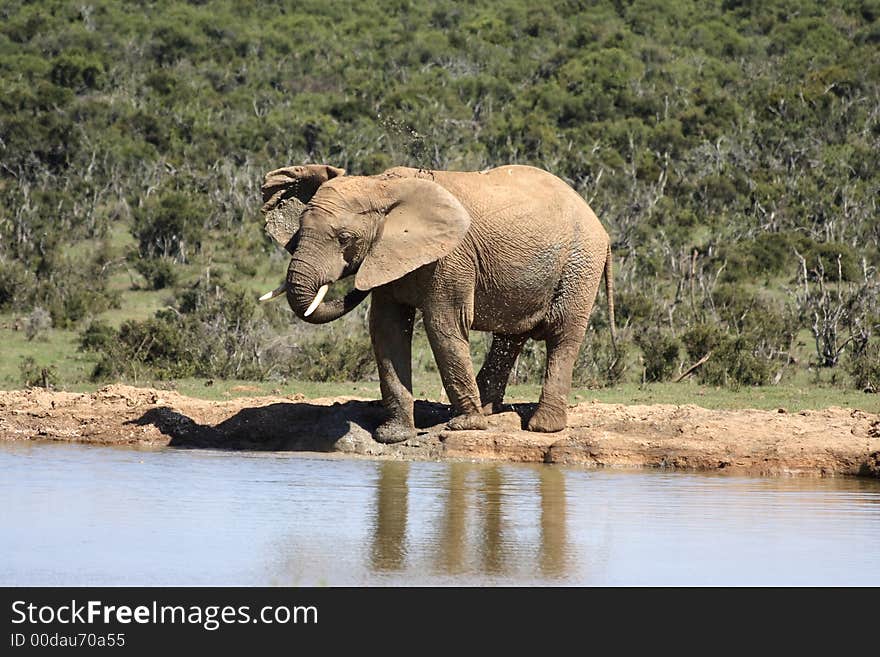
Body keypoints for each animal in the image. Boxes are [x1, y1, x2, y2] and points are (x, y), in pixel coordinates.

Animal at [258, 163, 616, 446]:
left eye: (345, 239)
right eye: (298, 233)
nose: (354, 279)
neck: (382, 186)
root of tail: (601, 225)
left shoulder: (451, 257)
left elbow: (443, 325)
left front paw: (465, 426)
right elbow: (387, 330)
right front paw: (393, 436)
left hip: (580, 263)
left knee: (562, 335)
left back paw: (542, 427)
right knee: (511, 336)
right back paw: (489, 409)